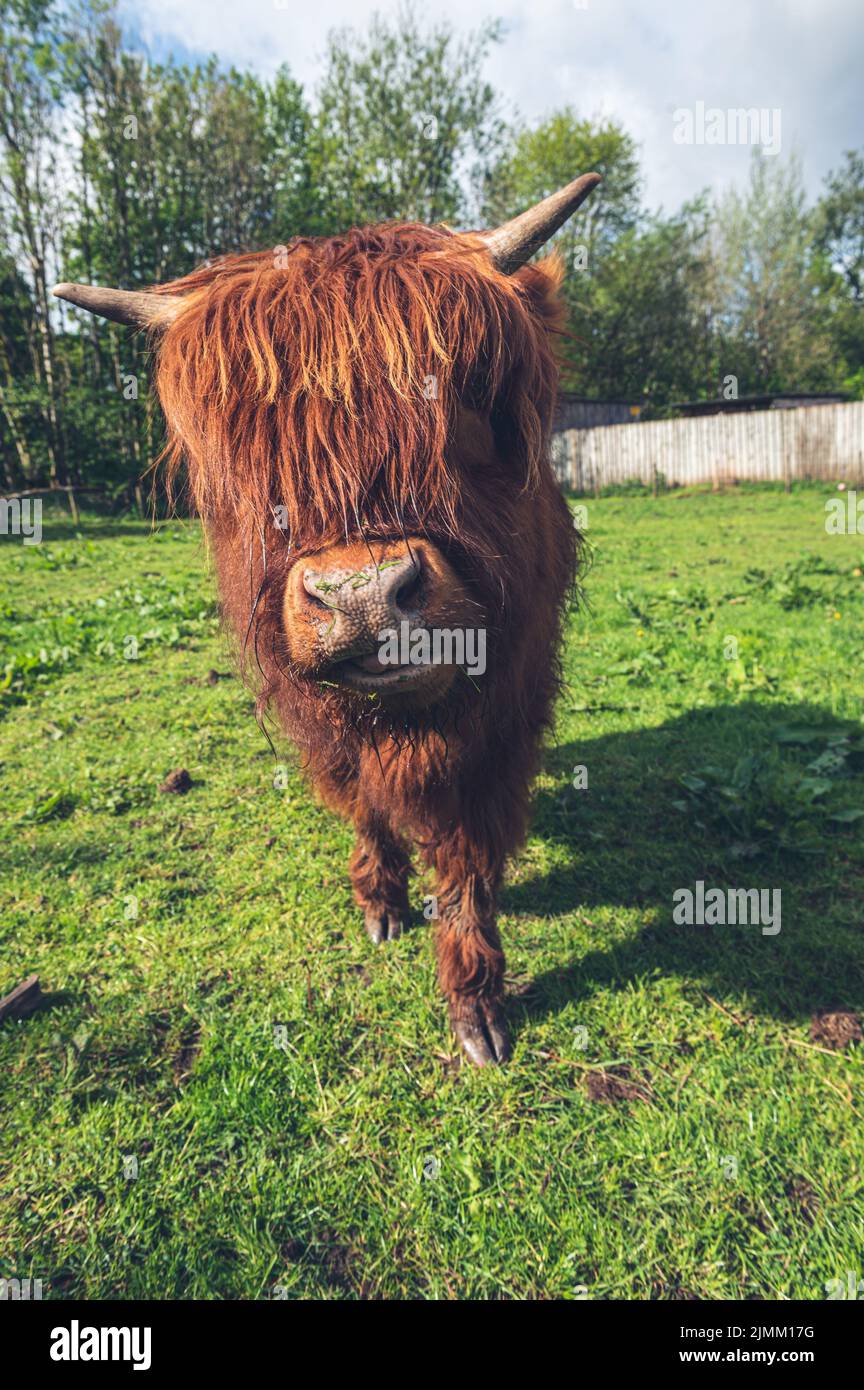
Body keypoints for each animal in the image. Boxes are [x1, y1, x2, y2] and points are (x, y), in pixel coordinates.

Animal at [53, 172, 600, 1065]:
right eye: (248, 460)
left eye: (467, 409)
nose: (364, 596)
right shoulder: (323, 723)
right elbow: (367, 807)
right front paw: (381, 904)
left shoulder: (504, 718)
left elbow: (468, 858)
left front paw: (475, 1002)